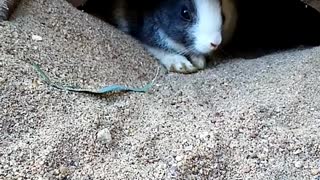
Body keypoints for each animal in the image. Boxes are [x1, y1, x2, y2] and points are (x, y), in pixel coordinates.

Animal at [82, 0, 238, 74]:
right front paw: (182, 65)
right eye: (185, 13)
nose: (215, 42)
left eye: (222, 13)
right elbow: (158, 48)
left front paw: (199, 61)